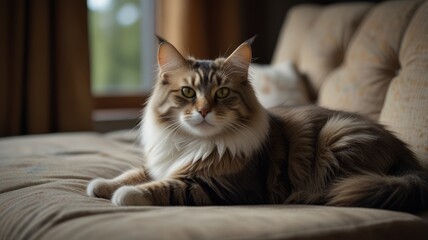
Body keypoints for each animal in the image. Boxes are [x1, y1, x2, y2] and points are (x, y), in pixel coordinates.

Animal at [87, 36, 428, 213]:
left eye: (222, 93)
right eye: (187, 93)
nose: (204, 111)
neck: (194, 143)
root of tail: (408, 158)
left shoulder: (215, 186)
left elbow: (161, 188)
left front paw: (125, 196)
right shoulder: (163, 162)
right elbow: (133, 173)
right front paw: (100, 185)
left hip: (337, 136)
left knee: (336, 189)